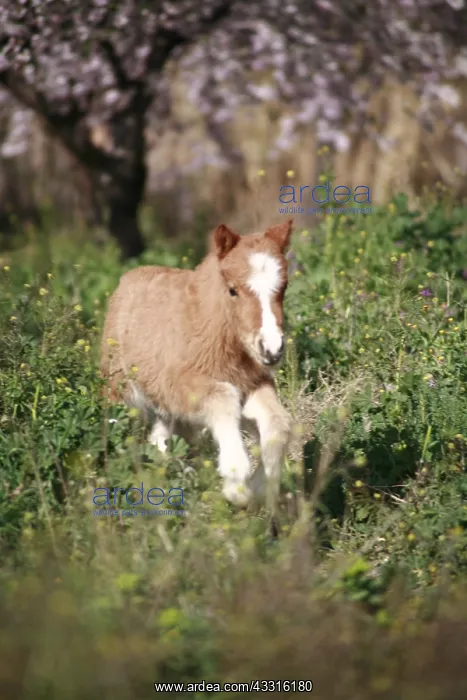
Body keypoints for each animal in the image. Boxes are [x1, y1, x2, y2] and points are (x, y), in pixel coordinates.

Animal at [100, 220, 294, 508]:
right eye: (233, 290)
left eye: (284, 287)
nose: (272, 349)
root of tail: (127, 278)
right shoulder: (178, 384)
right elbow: (222, 397)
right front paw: (236, 483)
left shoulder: (252, 383)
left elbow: (278, 420)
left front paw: (261, 486)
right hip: (120, 390)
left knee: (160, 435)